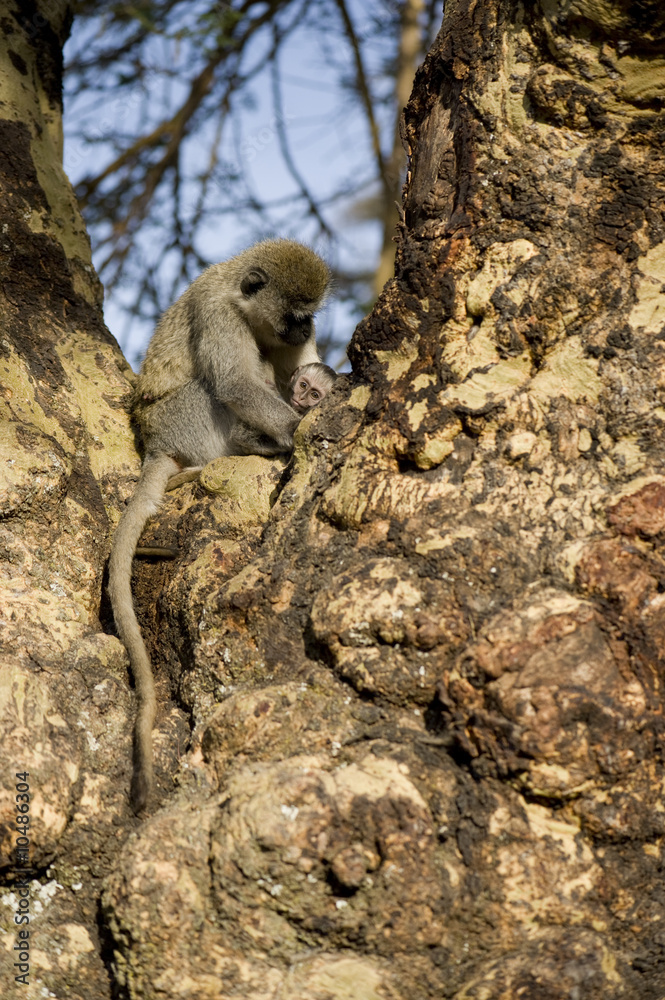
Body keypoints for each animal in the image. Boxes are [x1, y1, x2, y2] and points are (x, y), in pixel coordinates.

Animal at [108, 239, 331, 813]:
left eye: (310, 315)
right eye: (294, 313)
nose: (304, 328)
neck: (241, 298)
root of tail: (155, 443)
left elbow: (299, 367)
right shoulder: (217, 317)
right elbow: (235, 383)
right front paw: (298, 427)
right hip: (185, 418)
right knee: (219, 389)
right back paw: (254, 446)